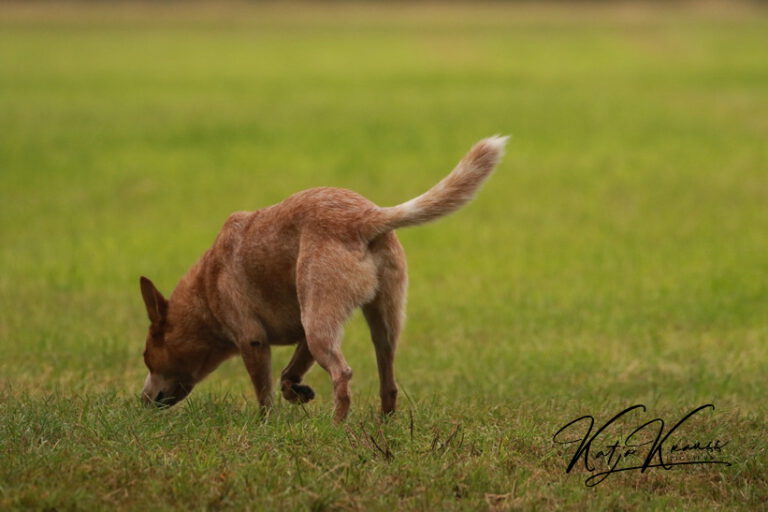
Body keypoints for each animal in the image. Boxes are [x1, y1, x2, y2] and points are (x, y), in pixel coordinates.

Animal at [141, 136, 508, 420]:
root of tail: (367, 217)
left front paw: (265, 423)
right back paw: (384, 423)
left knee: (342, 374)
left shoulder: (252, 338)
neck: (205, 289)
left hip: (320, 320)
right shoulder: (303, 329)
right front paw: (298, 392)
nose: (141, 401)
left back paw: (338, 425)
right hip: (378, 318)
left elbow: (264, 393)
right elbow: (288, 375)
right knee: (387, 377)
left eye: (146, 357)